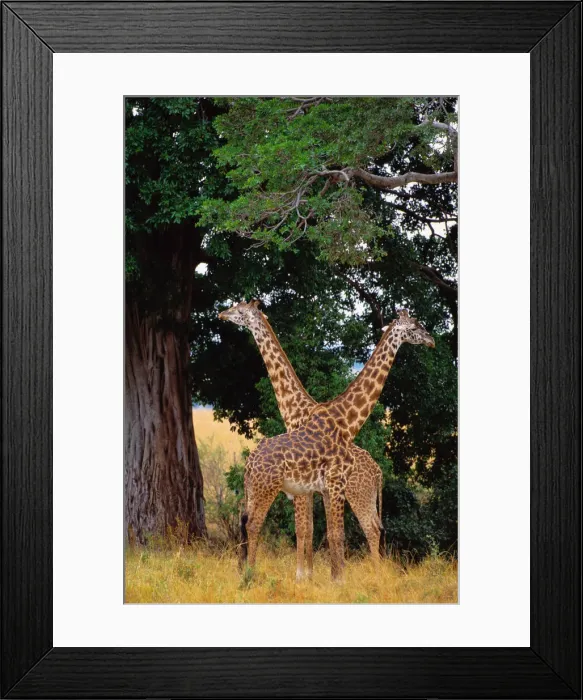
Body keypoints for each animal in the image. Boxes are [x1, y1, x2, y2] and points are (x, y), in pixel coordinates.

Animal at [219, 300, 384, 580]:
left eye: (239, 310)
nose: (221, 314)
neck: (294, 407)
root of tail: (379, 471)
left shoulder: (303, 485)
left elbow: (303, 528)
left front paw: (303, 575)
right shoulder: (308, 487)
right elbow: (309, 528)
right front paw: (310, 574)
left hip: (357, 494)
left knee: (371, 528)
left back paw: (376, 574)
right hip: (364, 496)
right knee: (377, 526)